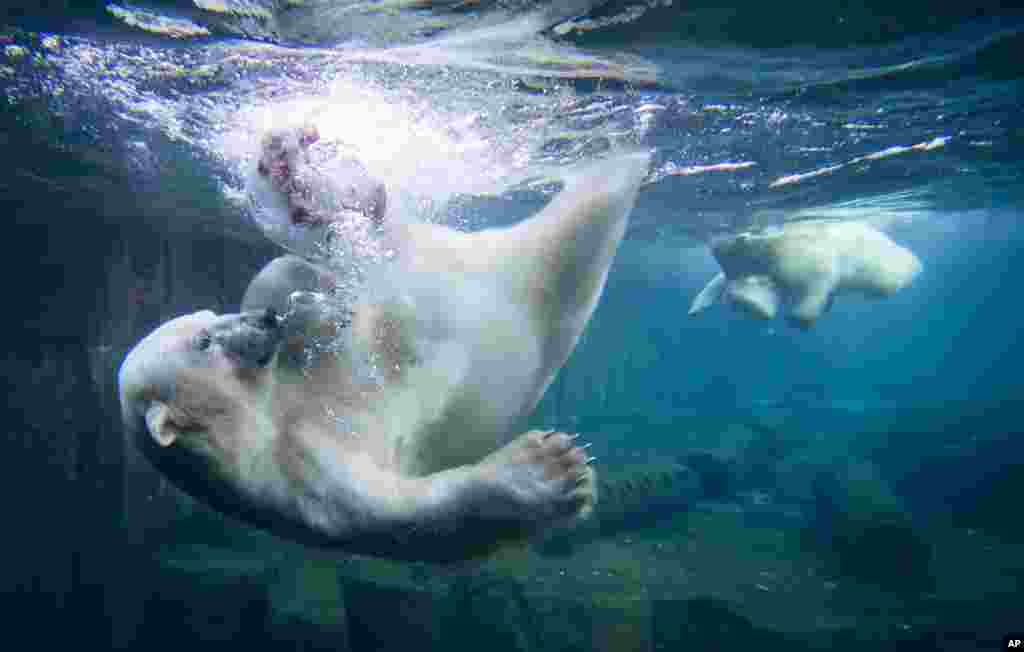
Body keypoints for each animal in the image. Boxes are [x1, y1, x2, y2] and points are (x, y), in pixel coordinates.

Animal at [117, 150, 647, 560]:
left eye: (207, 316)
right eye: (203, 342)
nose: (266, 321)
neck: (258, 422)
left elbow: (297, 291)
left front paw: (307, 305)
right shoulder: (307, 482)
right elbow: (411, 511)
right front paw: (554, 469)